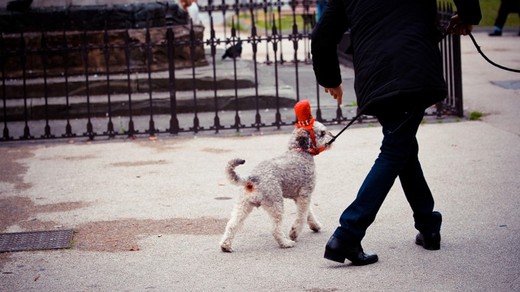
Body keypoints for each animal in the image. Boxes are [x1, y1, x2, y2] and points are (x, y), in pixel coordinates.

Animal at [219, 100, 334, 251]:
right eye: (322, 133)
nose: (333, 137)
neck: (299, 152)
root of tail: (253, 178)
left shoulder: (299, 197)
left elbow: (308, 213)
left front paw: (315, 226)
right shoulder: (304, 194)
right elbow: (302, 216)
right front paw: (294, 233)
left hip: (243, 205)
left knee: (232, 224)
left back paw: (226, 245)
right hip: (276, 204)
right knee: (275, 229)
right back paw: (286, 242)